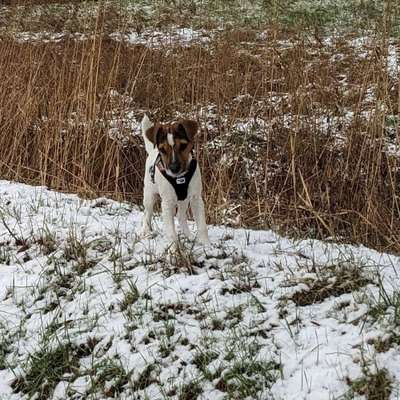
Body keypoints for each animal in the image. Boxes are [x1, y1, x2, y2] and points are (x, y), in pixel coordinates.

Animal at [140, 114, 209, 245]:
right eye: (162, 149)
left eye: (183, 146)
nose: (174, 168)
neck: (179, 178)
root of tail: (152, 151)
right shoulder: (167, 202)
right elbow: (170, 231)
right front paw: (174, 247)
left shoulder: (196, 198)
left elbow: (202, 225)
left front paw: (204, 243)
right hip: (149, 195)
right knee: (147, 213)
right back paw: (146, 231)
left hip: (184, 200)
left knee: (181, 216)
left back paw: (188, 235)